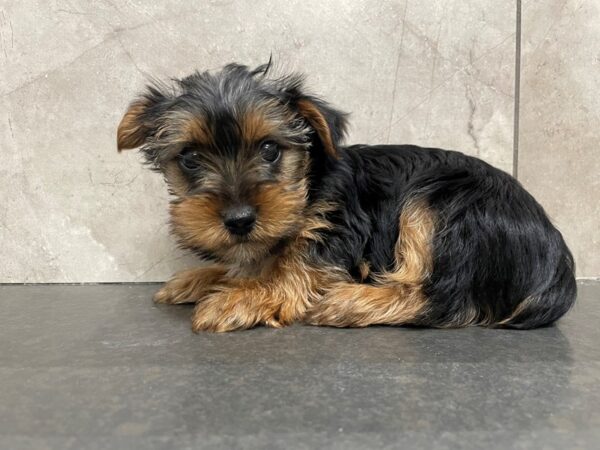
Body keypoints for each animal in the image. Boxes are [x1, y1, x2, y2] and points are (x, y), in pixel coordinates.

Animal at [116, 62, 576, 330]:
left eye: (269, 149)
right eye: (190, 158)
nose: (240, 219)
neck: (307, 188)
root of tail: (558, 263)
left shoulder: (337, 230)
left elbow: (295, 271)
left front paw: (238, 298)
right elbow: (252, 262)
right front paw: (200, 278)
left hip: (444, 206)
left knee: (441, 298)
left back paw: (347, 303)